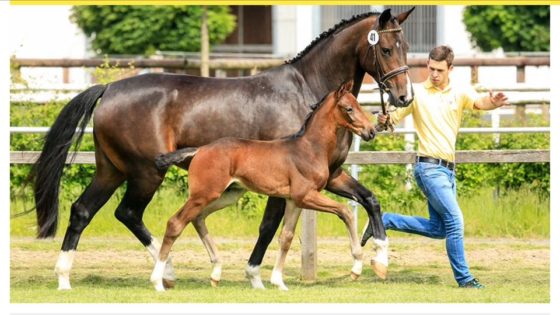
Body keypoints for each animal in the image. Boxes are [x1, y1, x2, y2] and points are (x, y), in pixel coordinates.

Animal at [151, 81, 376, 292]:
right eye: (349, 108)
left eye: (358, 104)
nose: (371, 131)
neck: (310, 148)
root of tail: (199, 150)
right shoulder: (305, 195)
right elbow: (345, 211)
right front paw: (356, 266)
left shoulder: (294, 200)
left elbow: (286, 237)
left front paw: (278, 282)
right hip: (204, 194)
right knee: (175, 223)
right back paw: (158, 281)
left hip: (227, 195)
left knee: (197, 218)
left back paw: (215, 272)